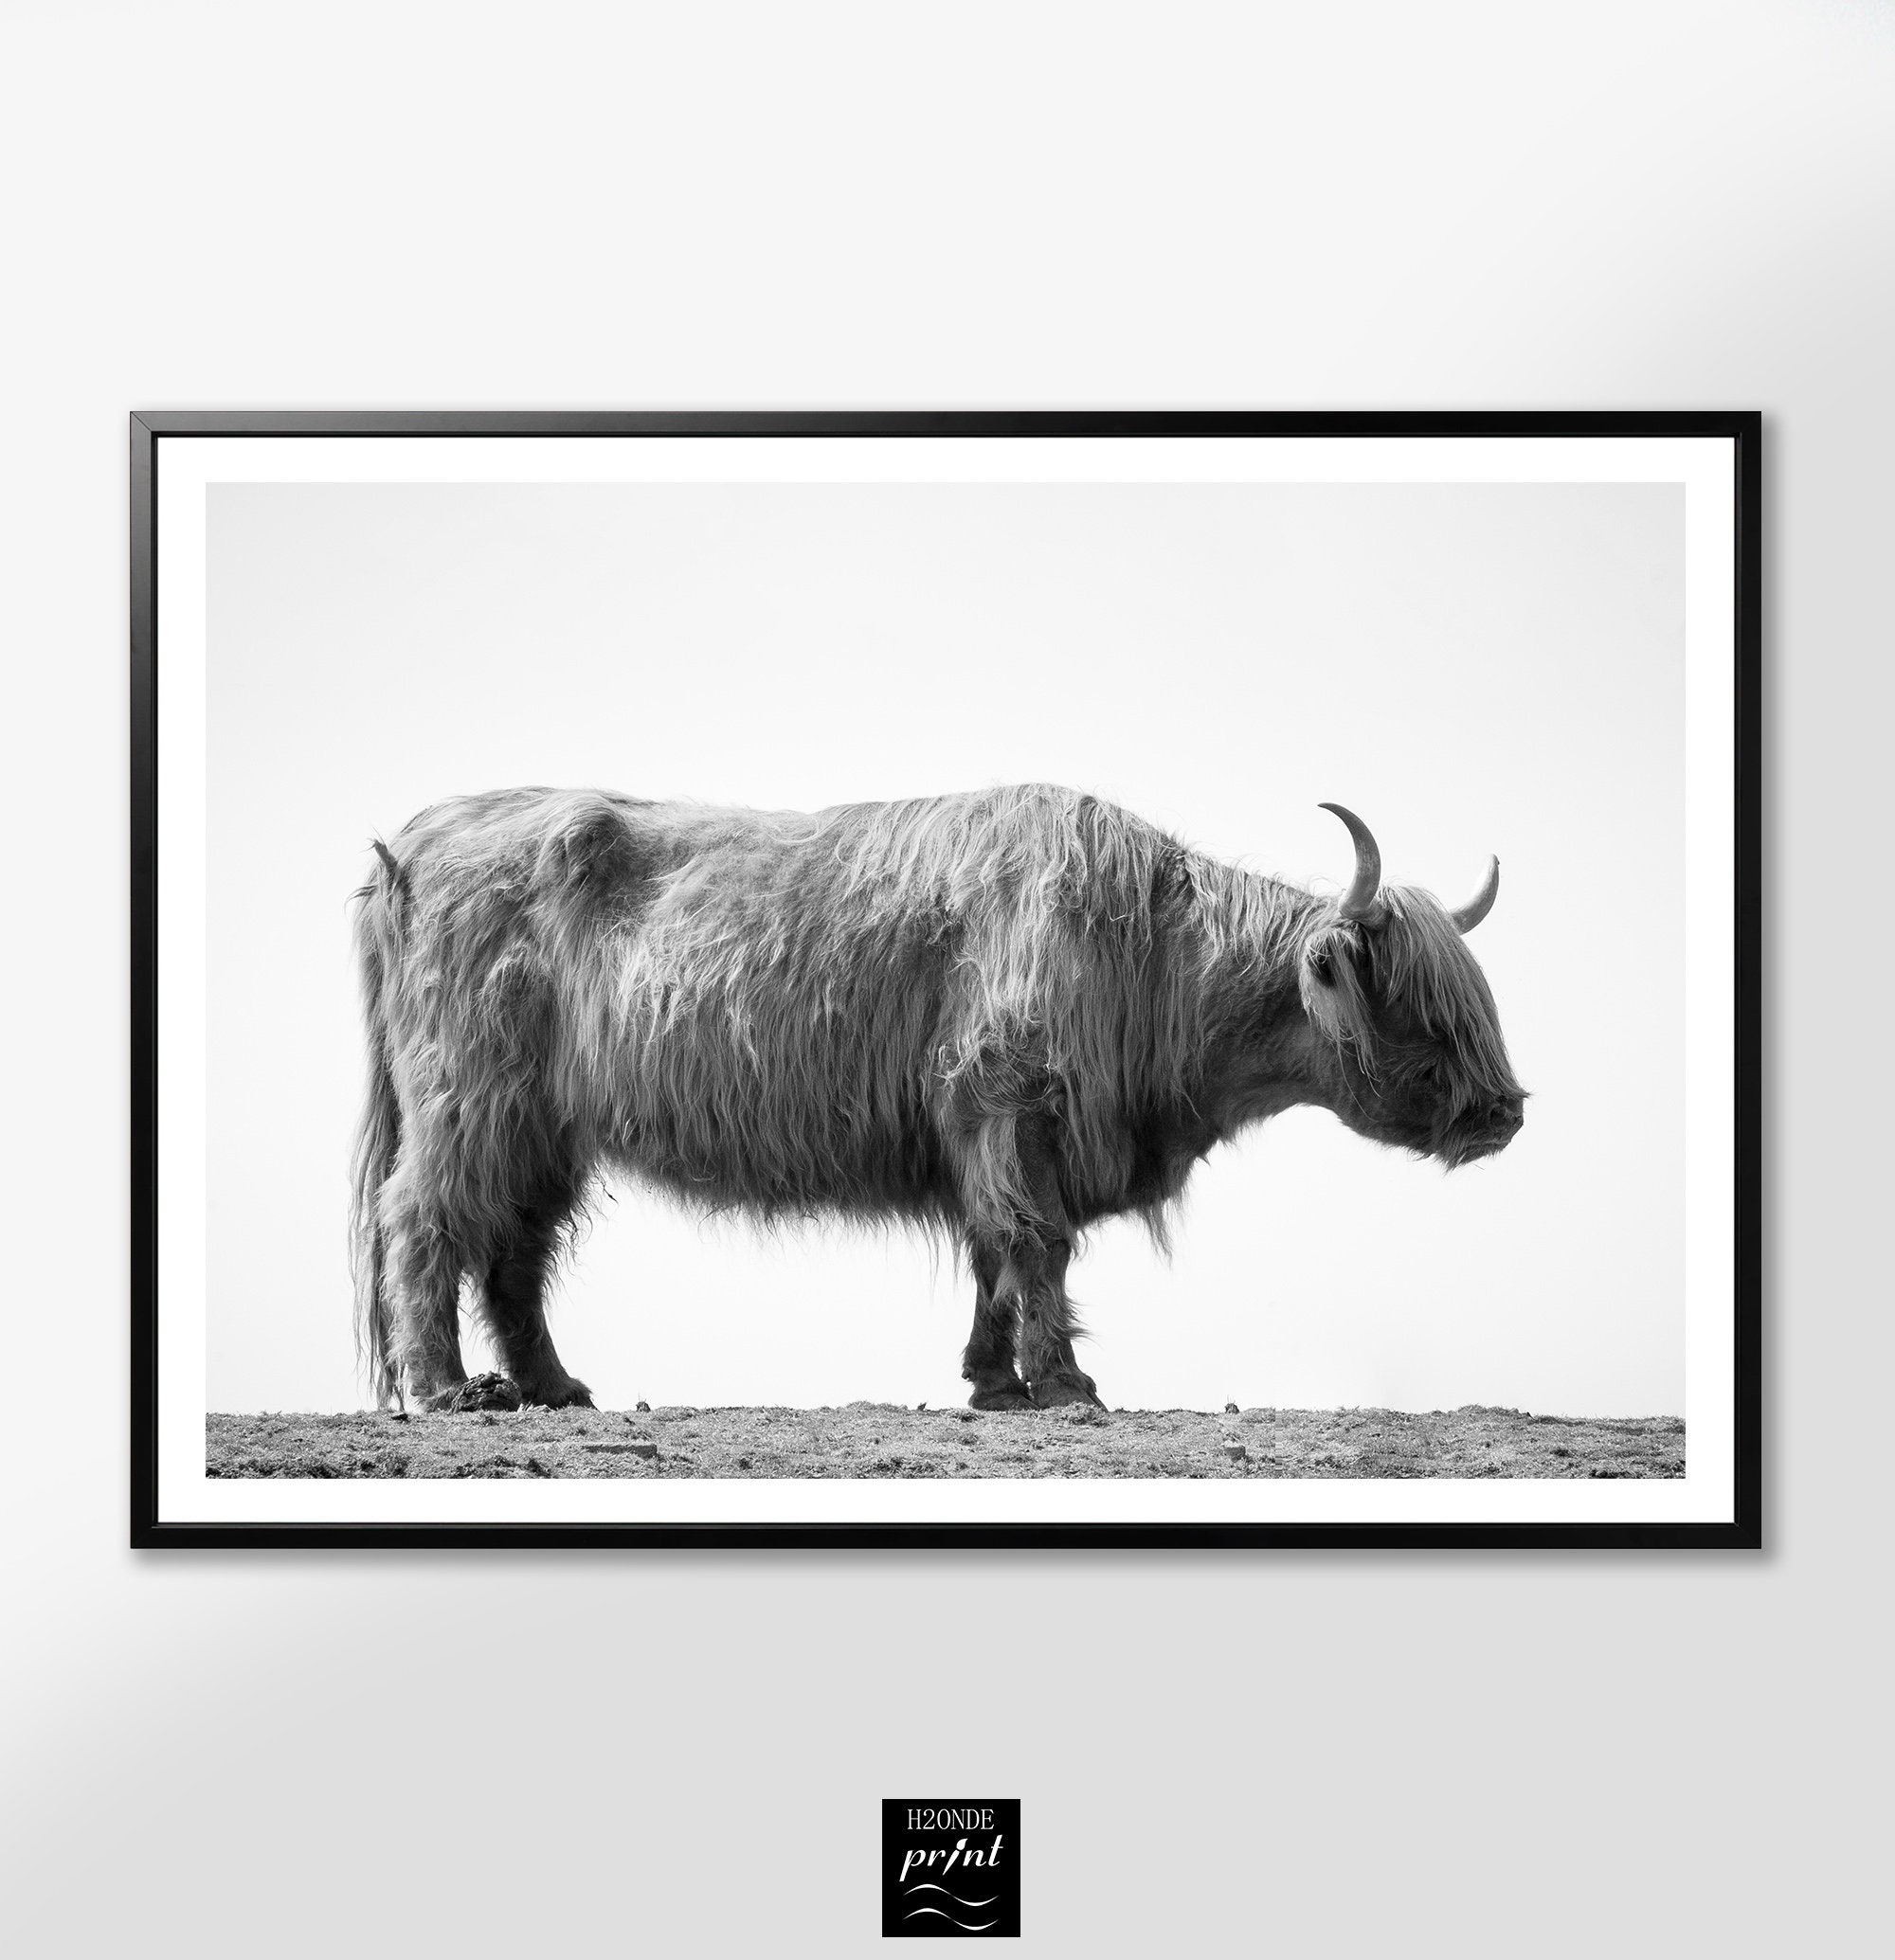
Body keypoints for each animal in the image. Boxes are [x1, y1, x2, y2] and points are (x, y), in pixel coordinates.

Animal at [350, 785, 1524, 1413]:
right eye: (1415, 1000)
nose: (1504, 1108)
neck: (1152, 950)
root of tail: (409, 841)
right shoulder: (1009, 1100)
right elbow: (1033, 1240)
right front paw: (1062, 1381)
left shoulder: (985, 1130)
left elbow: (991, 1253)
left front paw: (991, 1378)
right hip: (467, 1100)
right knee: (423, 1222)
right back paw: (447, 1389)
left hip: (542, 1128)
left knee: (515, 1248)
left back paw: (553, 1383)